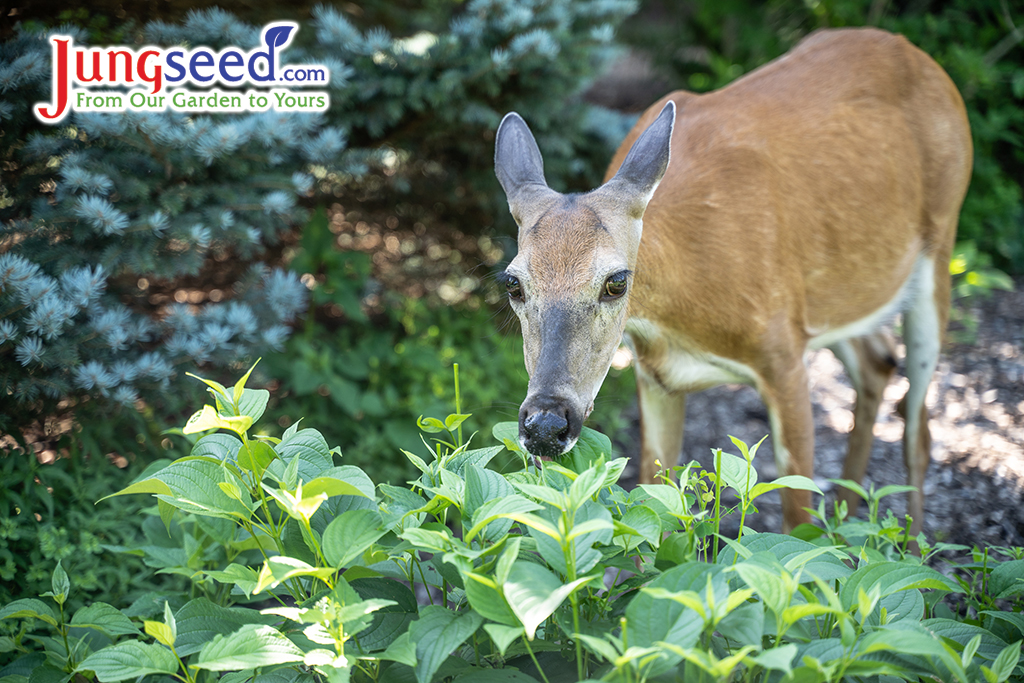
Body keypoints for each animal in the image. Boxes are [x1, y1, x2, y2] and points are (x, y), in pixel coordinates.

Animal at [493, 28, 966, 532]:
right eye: (513, 283)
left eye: (616, 281)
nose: (546, 425)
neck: (682, 311)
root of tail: (922, 58)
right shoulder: (654, 375)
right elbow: (655, 506)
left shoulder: (784, 357)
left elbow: (798, 522)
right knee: (878, 362)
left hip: (939, 249)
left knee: (919, 432)